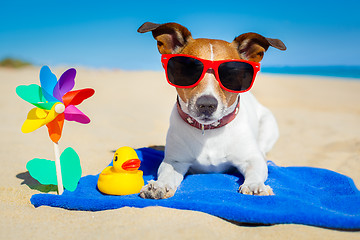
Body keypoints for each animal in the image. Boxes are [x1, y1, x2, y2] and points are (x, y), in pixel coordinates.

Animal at [136, 22, 286, 199]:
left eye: (231, 73)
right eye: (188, 70)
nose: (206, 104)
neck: (209, 132)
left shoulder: (251, 159)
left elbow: (256, 169)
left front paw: (254, 185)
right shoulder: (175, 161)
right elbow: (166, 172)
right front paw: (160, 185)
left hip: (269, 126)